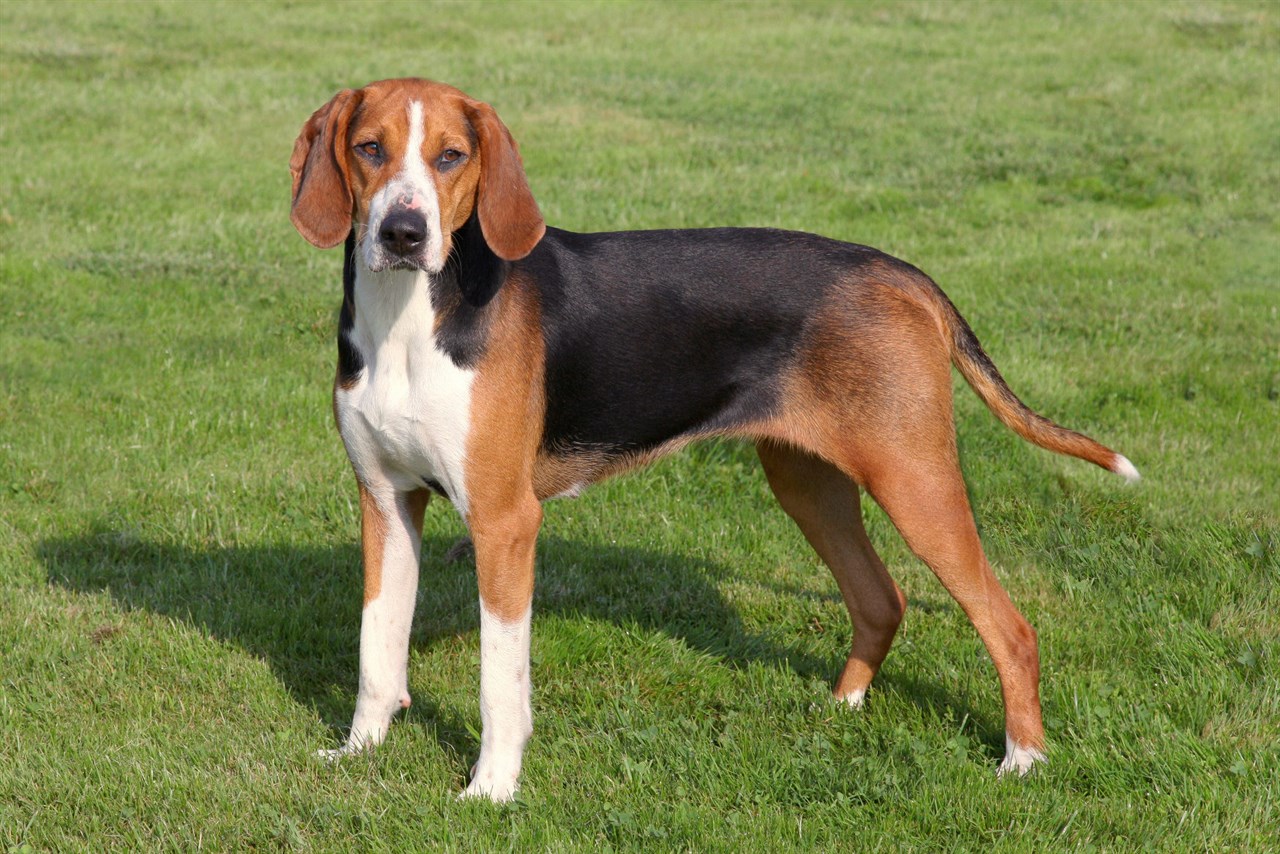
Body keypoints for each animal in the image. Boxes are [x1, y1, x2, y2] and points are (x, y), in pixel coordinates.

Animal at [290, 75, 1141, 804]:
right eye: (369, 148)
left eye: (451, 157)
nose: (404, 233)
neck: (409, 317)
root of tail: (897, 270)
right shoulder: (386, 504)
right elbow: (376, 648)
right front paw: (360, 750)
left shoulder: (504, 523)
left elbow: (501, 681)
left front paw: (492, 790)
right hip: (808, 483)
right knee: (882, 599)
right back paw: (840, 708)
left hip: (914, 482)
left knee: (1011, 628)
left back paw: (1023, 760)